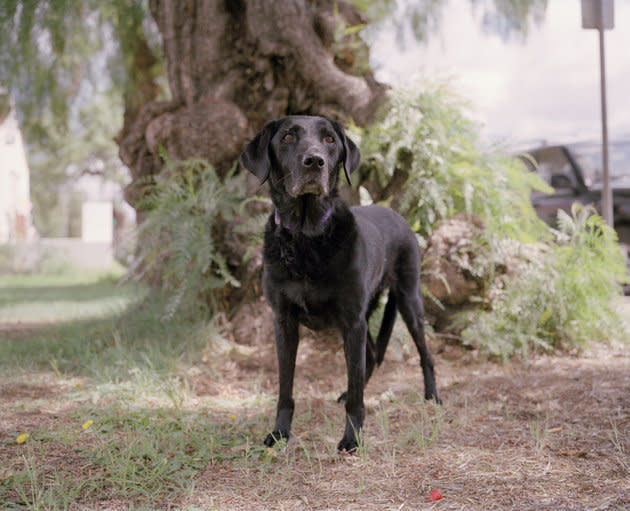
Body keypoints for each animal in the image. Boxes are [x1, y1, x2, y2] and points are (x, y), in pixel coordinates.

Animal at [239, 116, 442, 452]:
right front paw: (279, 433)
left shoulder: (351, 321)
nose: (314, 161)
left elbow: (356, 392)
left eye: (330, 139)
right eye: (288, 136)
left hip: (409, 301)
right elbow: (285, 388)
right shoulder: (284, 322)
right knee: (369, 355)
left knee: (424, 355)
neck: (306, 237)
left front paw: (351, 438)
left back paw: (432, 397)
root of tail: (395, 214)